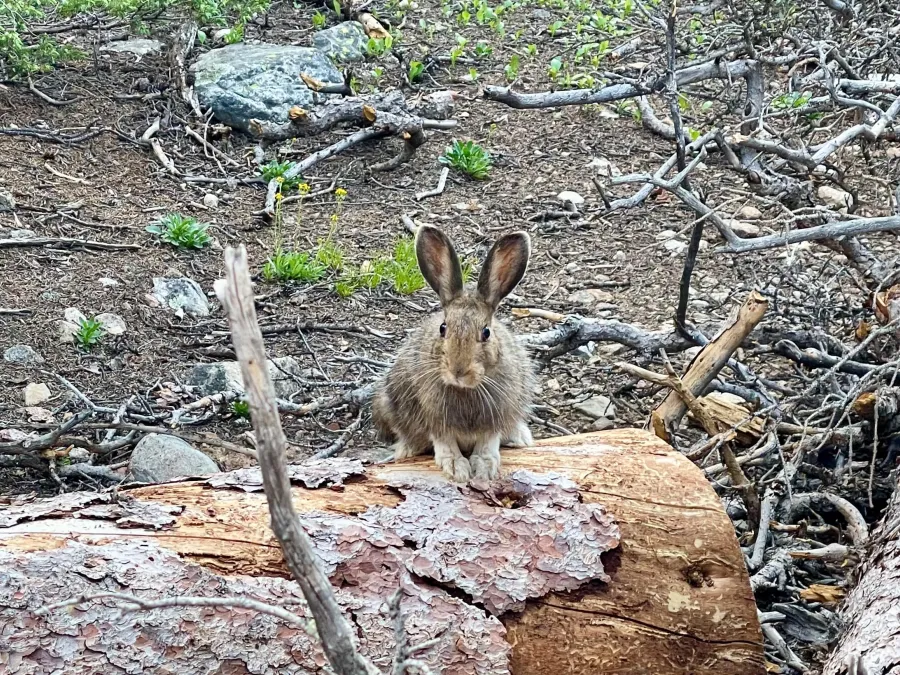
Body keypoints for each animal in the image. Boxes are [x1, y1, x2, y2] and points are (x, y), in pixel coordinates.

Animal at [372, 224, 535, 483]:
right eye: (443, 328)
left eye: (486, 332)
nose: (458, 371)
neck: (465, 389)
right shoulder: (433, 417)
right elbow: (444, 441)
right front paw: (456, 467)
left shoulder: (498, 413)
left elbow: (488, 441)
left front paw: (485, 466)